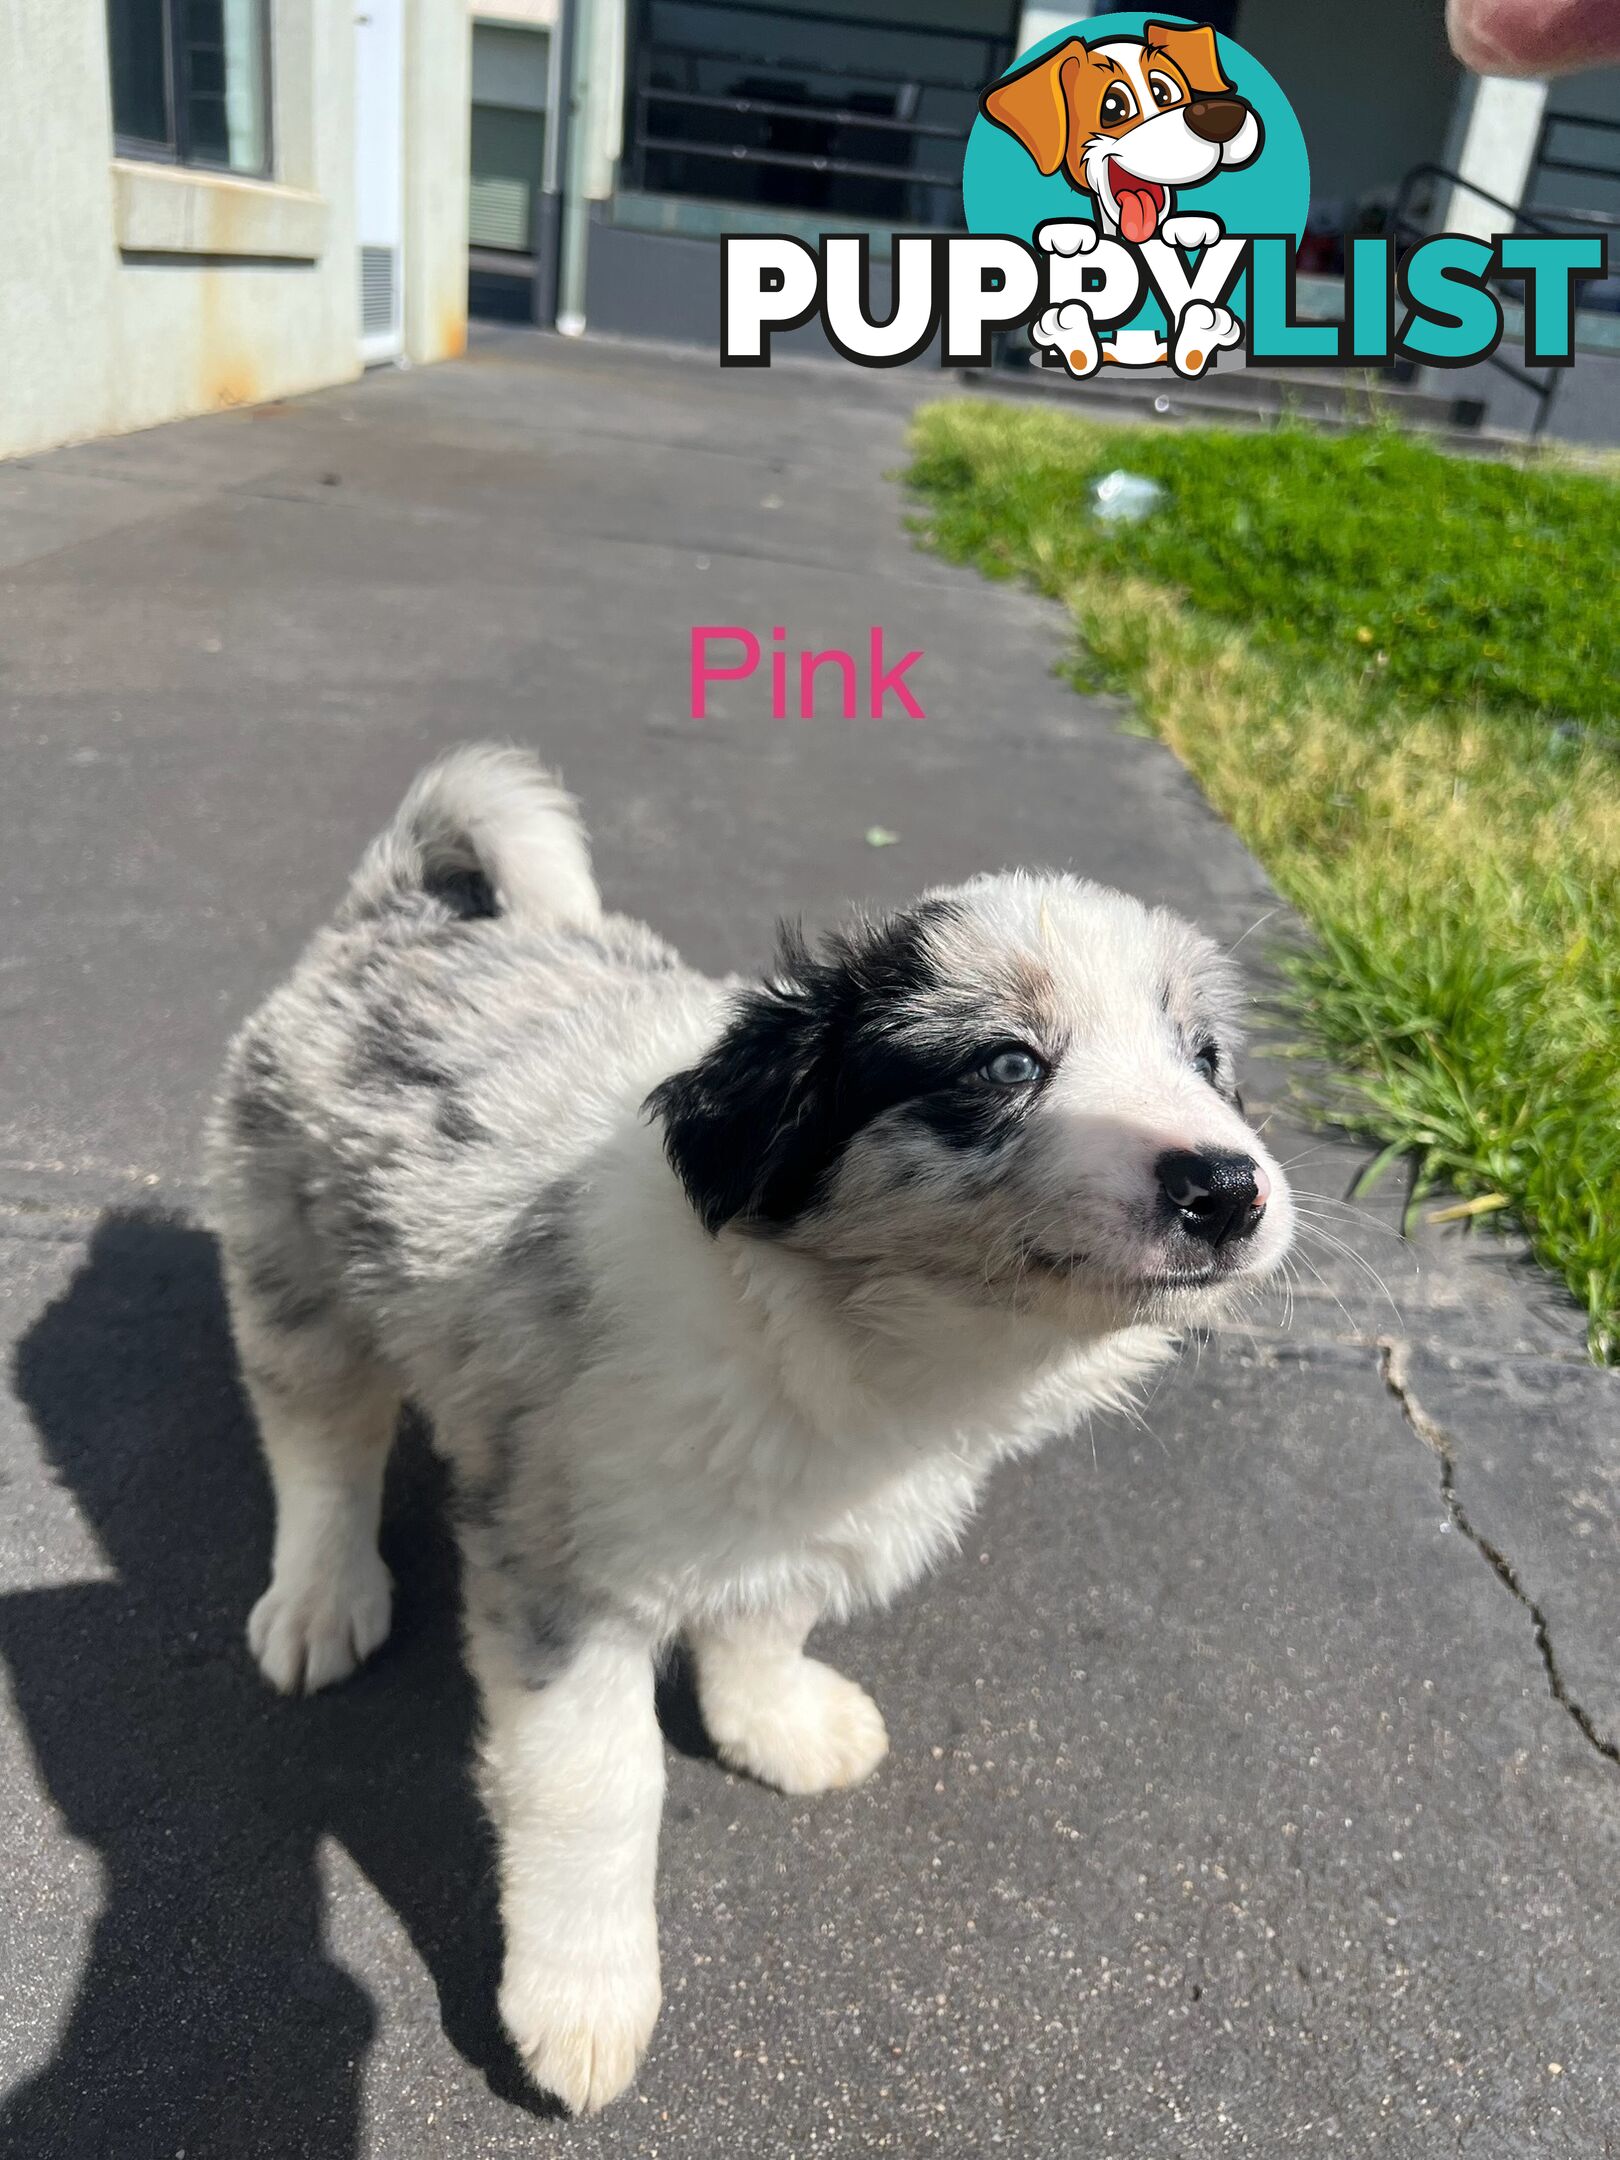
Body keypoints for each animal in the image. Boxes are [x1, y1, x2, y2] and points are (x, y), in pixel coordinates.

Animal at [206, 747, 1296, 2108]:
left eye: (1206, 1058)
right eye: (1005, 1065)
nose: (1229, 1187)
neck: (844, 1325)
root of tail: (398, 912)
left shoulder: (810, 1507)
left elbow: (770, 1614)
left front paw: (774, 1722)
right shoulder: (564, 1567)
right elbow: (599, 1783)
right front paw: (582, 2003)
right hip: (293, 1266)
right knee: (319, 1442)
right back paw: (319, 1597)